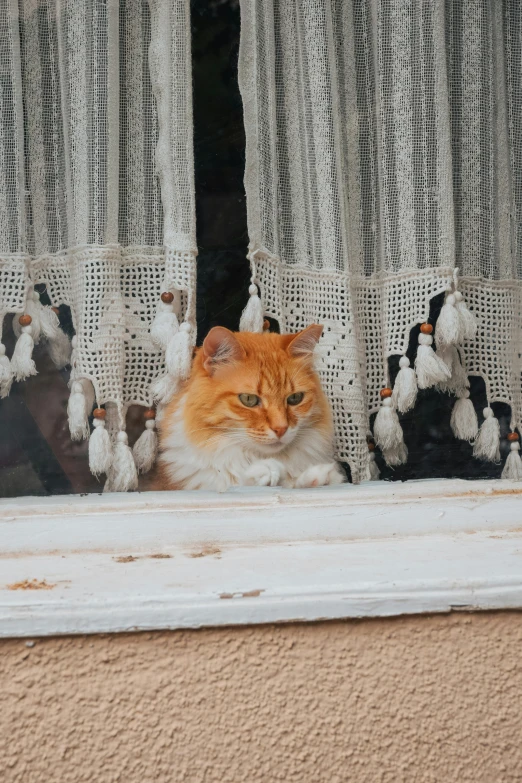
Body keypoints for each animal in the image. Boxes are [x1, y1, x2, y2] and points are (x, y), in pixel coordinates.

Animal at [151, 324, 346, 490]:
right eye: (249, 399)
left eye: (294, 398)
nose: (281, 429)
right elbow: (236, 482)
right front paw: (266, 471)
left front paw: (320, 477)